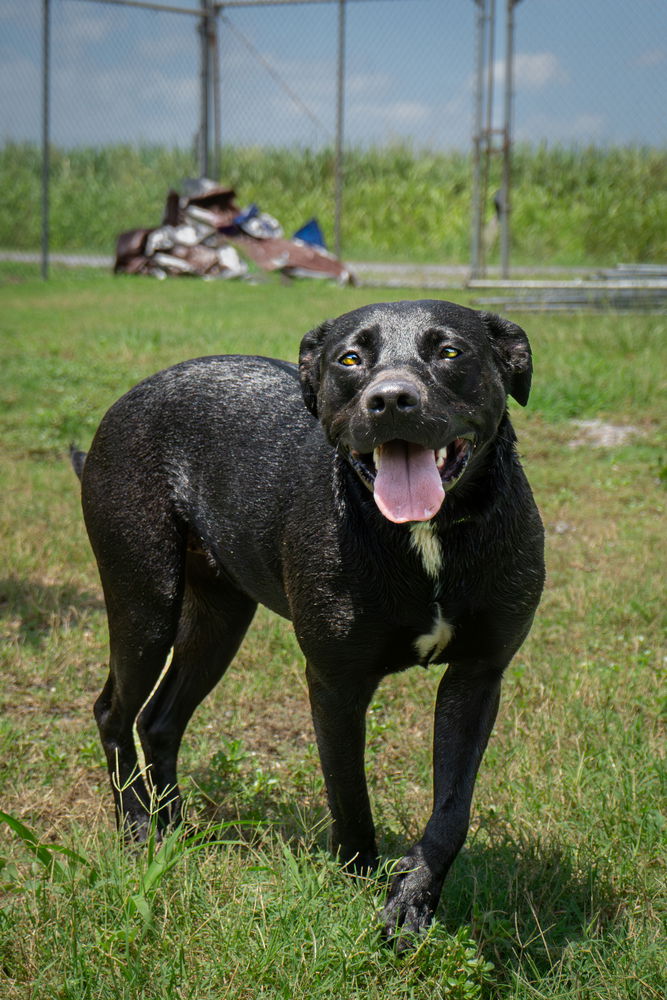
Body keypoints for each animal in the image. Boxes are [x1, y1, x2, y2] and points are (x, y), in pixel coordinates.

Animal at [74, 296, 544, 944]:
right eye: (350, 358)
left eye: (450, 351)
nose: (391, 399)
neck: (425, 536)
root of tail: (129, 397)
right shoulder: (335, 684)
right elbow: (349, 795)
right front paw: (358, 881)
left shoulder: (478, 675)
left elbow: (453, 808)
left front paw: (412, 901)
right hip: (145, 603)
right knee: (114, 712)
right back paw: (139, 828)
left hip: (220, 621)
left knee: (160, 719)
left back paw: (176, 829)